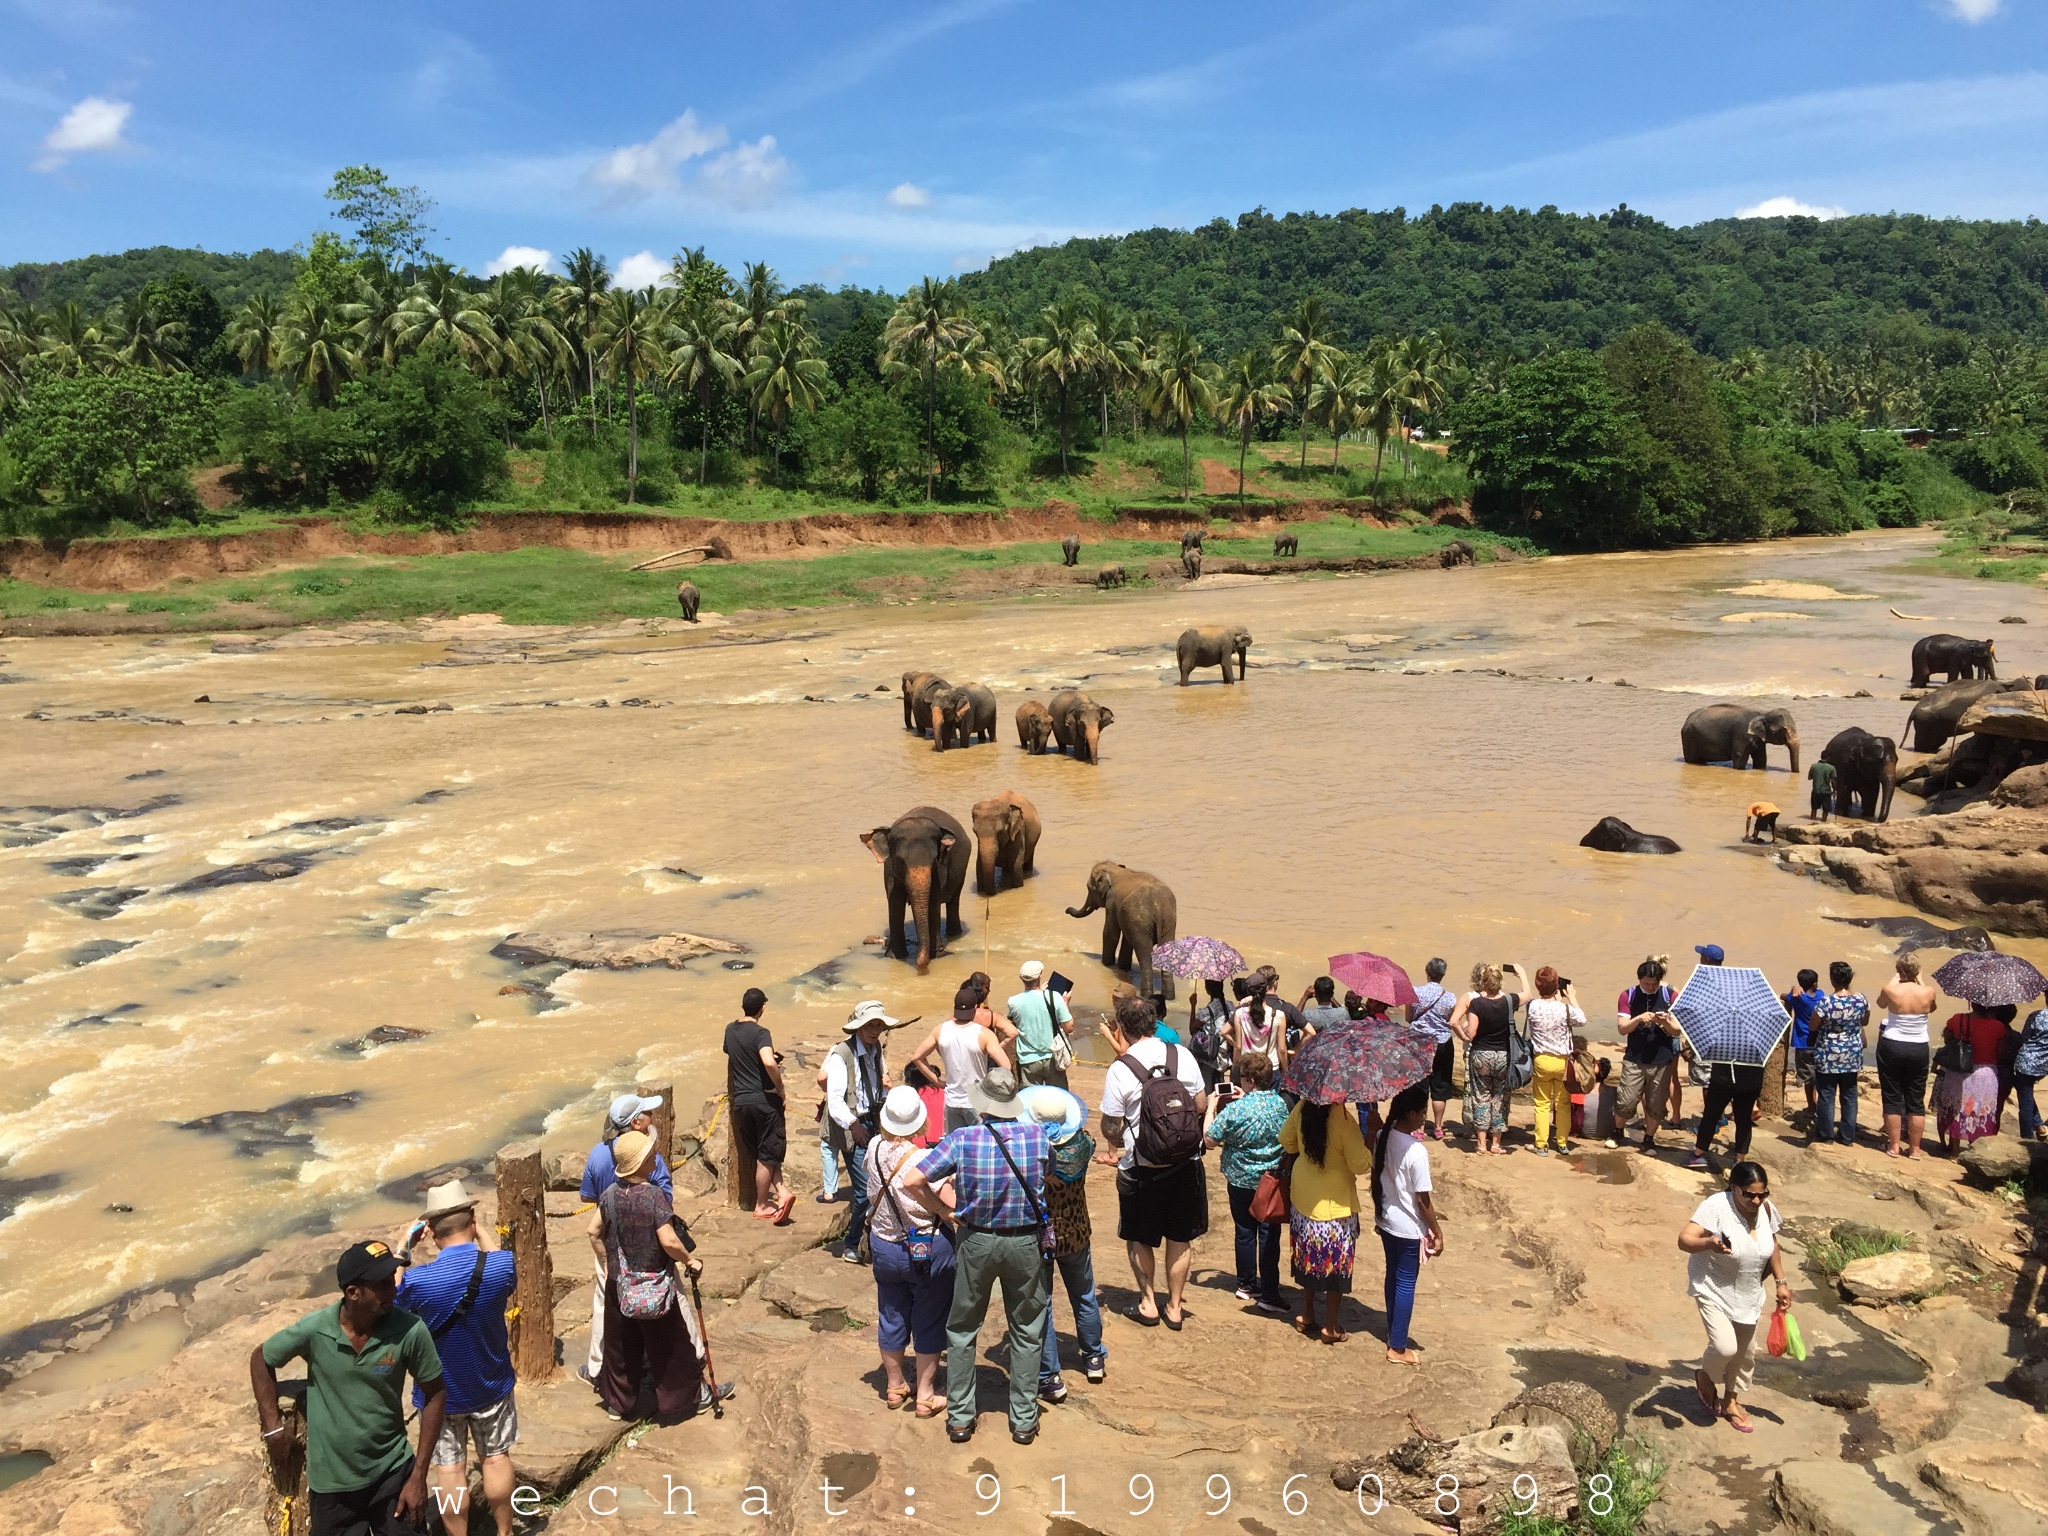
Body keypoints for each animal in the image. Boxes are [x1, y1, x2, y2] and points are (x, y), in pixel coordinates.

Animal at [856, 806, 966, 974]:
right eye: (901, 861)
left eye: (934, 860)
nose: (920, 966)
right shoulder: (889, 871)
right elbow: (895, 902)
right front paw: (895, 956)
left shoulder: (940, 870)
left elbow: (933, 902)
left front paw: (936, 955)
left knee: (954, 901)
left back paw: (954, 934)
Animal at [1064, 860, 1179, 1003]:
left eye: (1089, 888)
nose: (1066, 910)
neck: (1116, 870)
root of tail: (1158, 907)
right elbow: (1125, 939)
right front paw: (1123, 967)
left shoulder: (1111, 901)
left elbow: (1110, 933)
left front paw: (1107, 964)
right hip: (1167, 922)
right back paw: (1169, 997)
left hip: (1142, 923)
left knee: (1144, 955)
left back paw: (1146, 996)